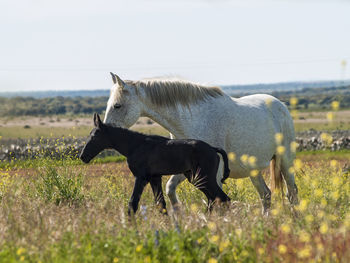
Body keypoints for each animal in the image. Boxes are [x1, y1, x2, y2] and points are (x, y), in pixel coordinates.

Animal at [80, 114, 231, 217]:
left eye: (94, 136)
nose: (82, 156)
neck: (135, 145)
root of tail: (213, 149)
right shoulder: (155, 178)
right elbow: (160, 204)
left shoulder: (141, 177)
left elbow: (133, 203)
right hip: (196, 178)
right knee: (214, 199)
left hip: (204, 178)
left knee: (223, 198)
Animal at [103, 72, 298, 214]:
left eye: (117, 106)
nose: (106, 132)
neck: (191, 120)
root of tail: (281, 105)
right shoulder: (186, 169)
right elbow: (170, 189)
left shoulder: (214, 173)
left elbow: (218, 200)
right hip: (254, 170)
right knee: (266, 195)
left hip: (285, 161)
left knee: (292, 192)